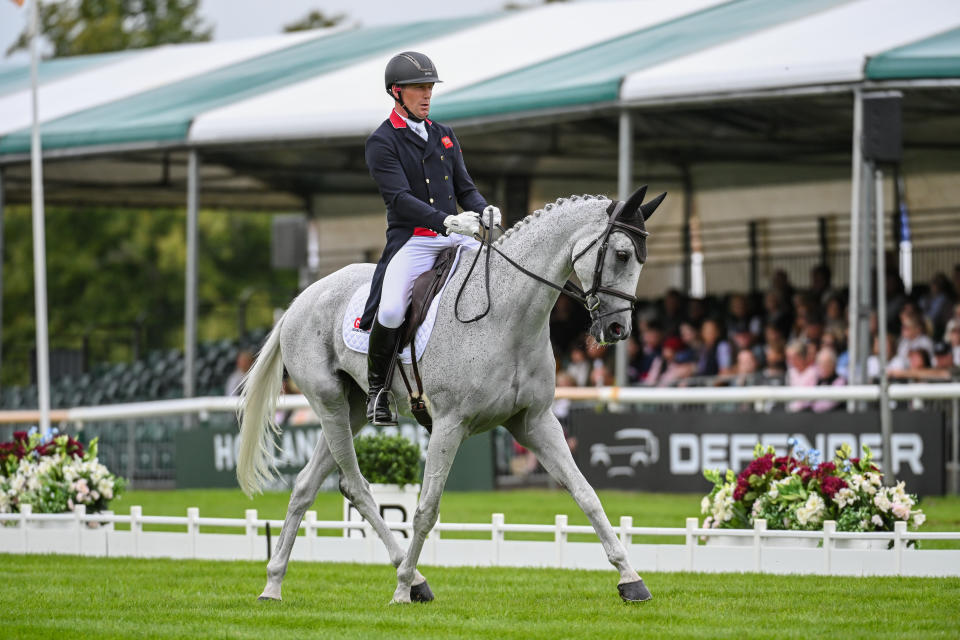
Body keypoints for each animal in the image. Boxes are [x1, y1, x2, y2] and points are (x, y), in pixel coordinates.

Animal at [236, 186, 664, 604]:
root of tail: (301, 299)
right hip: (329, 404)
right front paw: (400, 590)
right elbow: (426, 509)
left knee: (308, 485)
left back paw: (274, 583)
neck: (507, 316)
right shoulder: (449, 424)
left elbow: (586, 494)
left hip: (351, 409)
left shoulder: (535, 423)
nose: (618, 330)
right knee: (356, 486)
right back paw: (405, 580)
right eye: (623, 255)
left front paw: (631, 580)